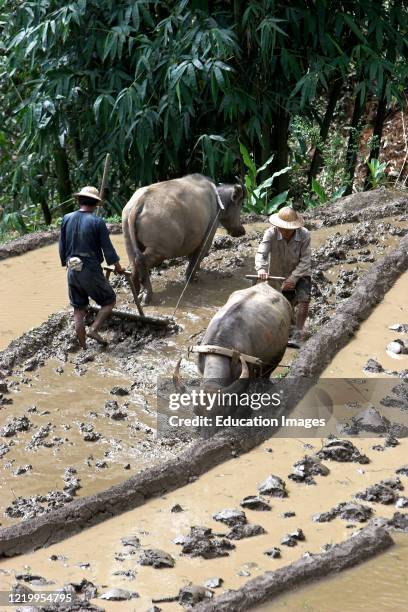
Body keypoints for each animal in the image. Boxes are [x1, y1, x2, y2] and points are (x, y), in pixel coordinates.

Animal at [122, 173, 245, 302]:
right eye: (241, 204)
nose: (242, 231)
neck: (218, 202)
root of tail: (139, 203)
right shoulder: (208, 234)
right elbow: (198, 256)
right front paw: (191, 279)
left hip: (128, 234)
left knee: (133, 263)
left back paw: (135, 294)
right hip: (163, 247)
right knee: (141, 261)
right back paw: (147, 295)